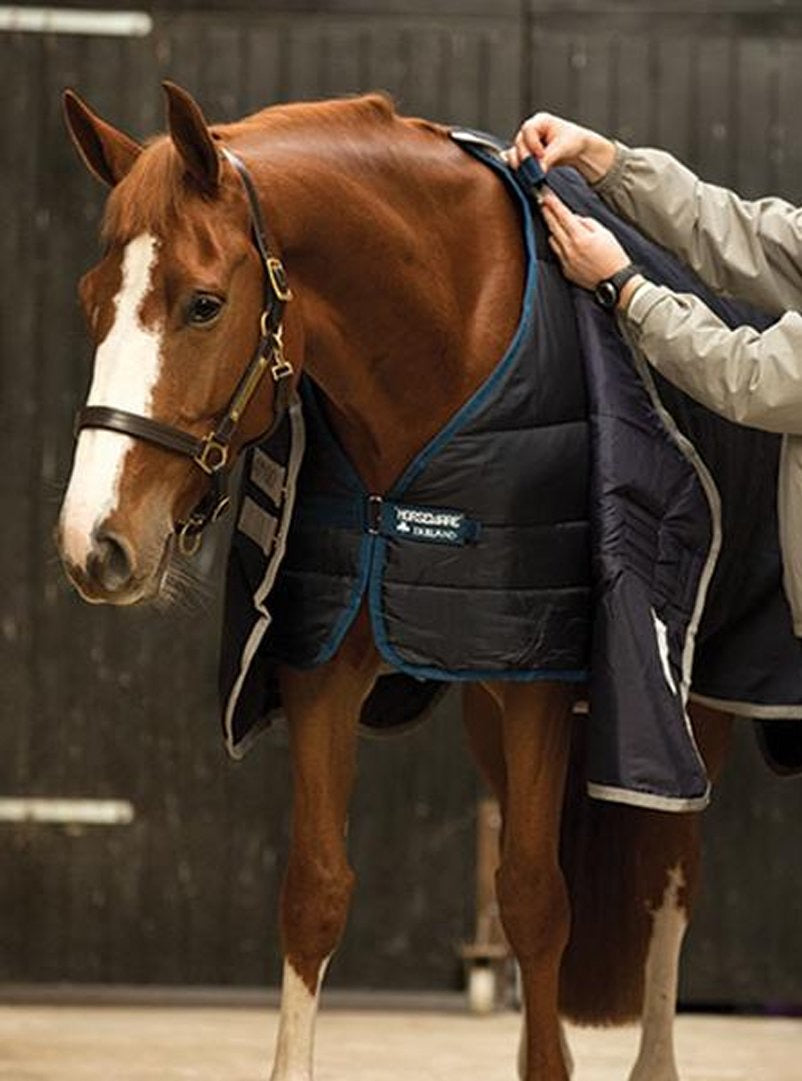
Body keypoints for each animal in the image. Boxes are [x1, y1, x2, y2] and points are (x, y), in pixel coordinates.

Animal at [56, 81, 735, 1081]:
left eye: (204, 305)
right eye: (90, 302)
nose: (92, 542)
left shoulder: (539, 679)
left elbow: (534, 899)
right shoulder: (324, 666)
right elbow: (315, 893)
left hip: (685, 714)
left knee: (668, 874)